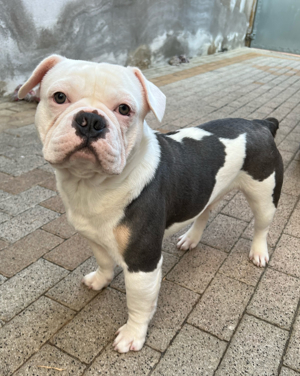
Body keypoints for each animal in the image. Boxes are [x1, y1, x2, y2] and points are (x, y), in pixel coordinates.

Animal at [18, 55, 284, 352]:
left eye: (124, 109)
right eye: (59, 97)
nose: (91, 120)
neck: (91, 186)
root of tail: (260, 123)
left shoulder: (142, 262)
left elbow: (139, 303)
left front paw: (133, 335)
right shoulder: (93, 236)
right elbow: (104, 262)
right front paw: (100, 280)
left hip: (264, 193)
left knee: (261, 225)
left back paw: (258, 252)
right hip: (207, 190)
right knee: (204, 212)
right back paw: (190, 239)